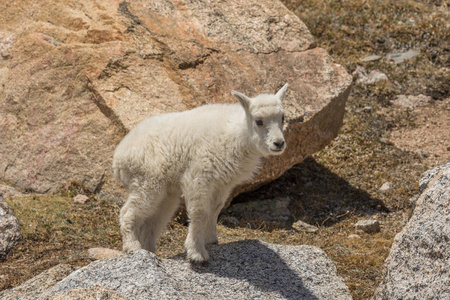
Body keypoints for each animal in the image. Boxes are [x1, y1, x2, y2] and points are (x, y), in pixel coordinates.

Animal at [112, 84, 288, 262]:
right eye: (259, 121)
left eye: (283, 118)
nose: (279, 143)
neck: (237, 135)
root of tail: (119, 158)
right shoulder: (198, 176)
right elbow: (200, 212)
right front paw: (197, 253)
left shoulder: (222, 183)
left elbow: (215, 209)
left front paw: (212, 240)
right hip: (147, 181)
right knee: (127, 212)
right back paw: (133, 247)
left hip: (166, 194)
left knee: (152, 223)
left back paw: (150, 252)